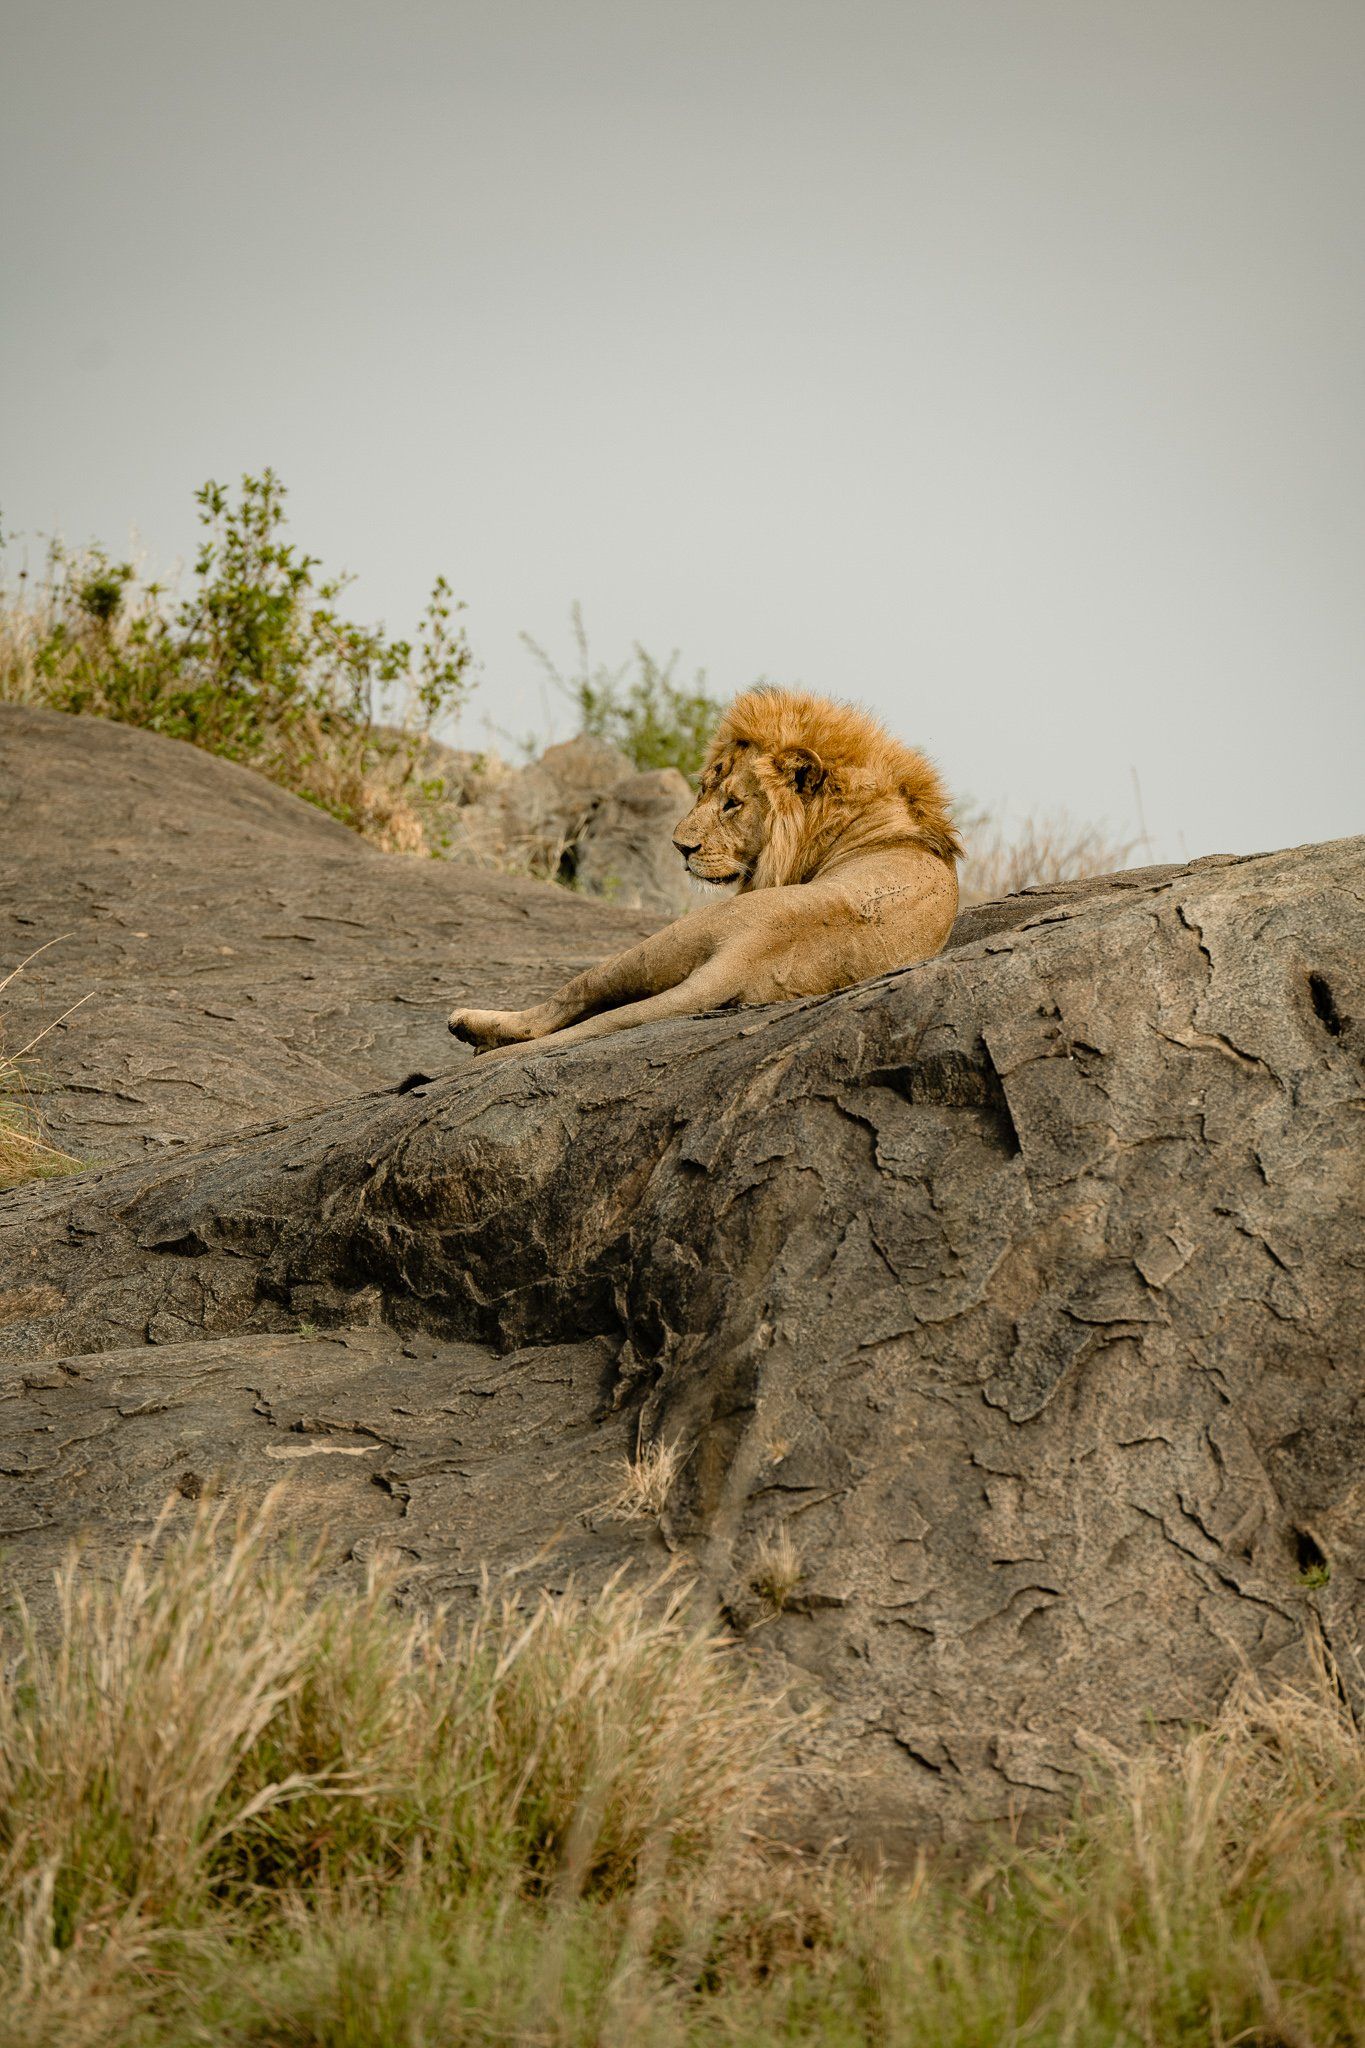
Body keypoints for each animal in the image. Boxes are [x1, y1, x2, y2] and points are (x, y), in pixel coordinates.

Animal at [448, 686, 961, 1058]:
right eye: (704, 788)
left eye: (733, 803)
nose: (680, 846)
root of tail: (747, 953)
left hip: (669, 938)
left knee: (568, 997)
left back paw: (469, 1026)